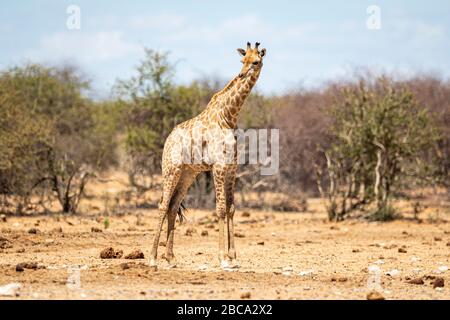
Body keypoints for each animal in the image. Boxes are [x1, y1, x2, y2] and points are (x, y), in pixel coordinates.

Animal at [149, 41, 266, 268]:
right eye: (242, 60)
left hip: (187, 174)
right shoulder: (218, 166)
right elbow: (220, 209)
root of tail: (167, 139)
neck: (229, 116)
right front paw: (223, 258)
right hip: (170, 169)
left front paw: (233, 256)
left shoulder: (232, 168)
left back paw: (171, 257)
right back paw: (152, 257)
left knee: (173, 206)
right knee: (163, 205)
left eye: (256, 61)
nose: (241, 75)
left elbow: (231, 208)